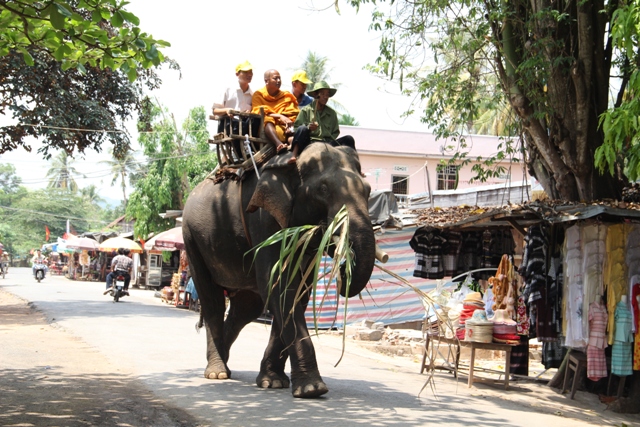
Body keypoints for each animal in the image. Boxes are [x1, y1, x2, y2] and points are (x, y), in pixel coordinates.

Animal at [181, 142, 376, 400]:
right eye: (323, 189)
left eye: (368, 190)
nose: (343, 269)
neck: (292, 159)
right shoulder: (263, 218)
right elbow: (276, 285)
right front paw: (312, 390)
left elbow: (296, 292)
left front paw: (272, 382)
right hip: (191, 237)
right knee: (212, 300)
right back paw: (217, 372)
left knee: (246, 309)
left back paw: (223, 361)